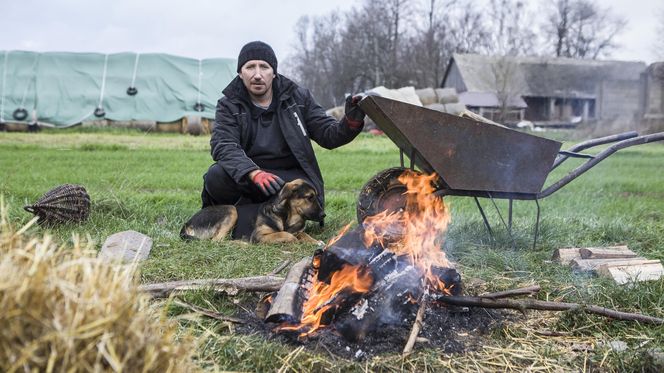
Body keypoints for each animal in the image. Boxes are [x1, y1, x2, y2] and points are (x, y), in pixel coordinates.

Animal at [180, 178, 326, 243]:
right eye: (310, 197)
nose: (323, 215)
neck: (285, 216)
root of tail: (187, 223)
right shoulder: (259, 235)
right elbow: (286, 234)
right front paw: (295, 240)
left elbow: (302, 234)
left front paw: (315, 241)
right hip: (231, 210)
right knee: (217, 241)